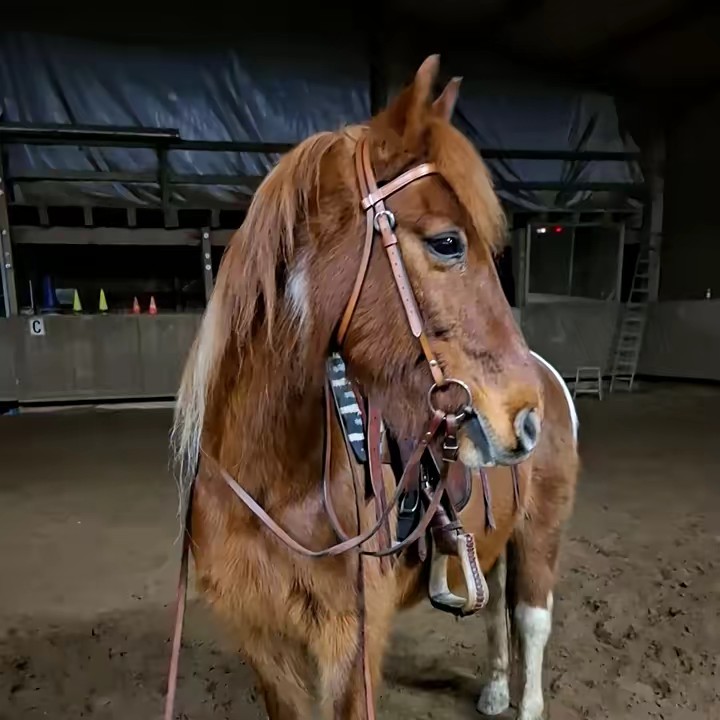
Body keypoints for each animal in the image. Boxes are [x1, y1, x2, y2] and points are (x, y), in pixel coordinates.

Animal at [171, 55, 579, 720]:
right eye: (447, 242)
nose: (525, 419)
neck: (276, 485)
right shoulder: (263, 643)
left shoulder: (351, 644)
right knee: (495, 611)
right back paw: (495, 690)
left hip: (542, 532)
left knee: (530, 620)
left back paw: (525, 703)